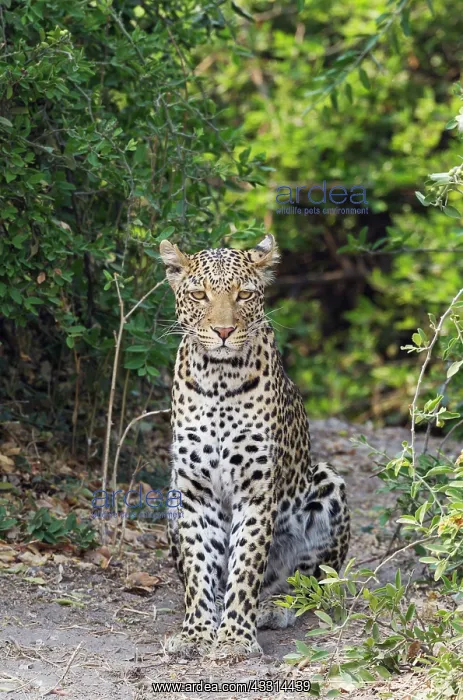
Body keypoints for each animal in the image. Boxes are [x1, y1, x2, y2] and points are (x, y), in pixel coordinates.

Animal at [159, 234, 350, 659]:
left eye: (244, 294)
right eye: (199, 294)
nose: (224, 330)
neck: (218, 377)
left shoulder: (257, 489)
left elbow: (246, 564)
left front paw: (234, 637)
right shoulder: (194, 491)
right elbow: (199, 565)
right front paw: (197, 632)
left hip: (327, 481)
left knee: (310, 581)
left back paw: (275, 607)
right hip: (172, 494)